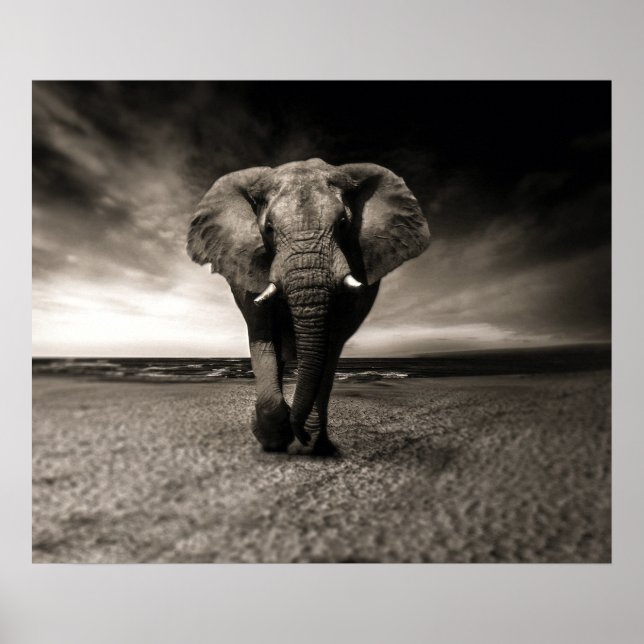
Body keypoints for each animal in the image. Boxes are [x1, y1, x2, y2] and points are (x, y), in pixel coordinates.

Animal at [187, 158, 430, 455]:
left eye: (343, 224)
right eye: (268, 229)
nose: (299, 434)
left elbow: (331, 344)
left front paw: (309, 443)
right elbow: (262, 335)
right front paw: (273, 439)